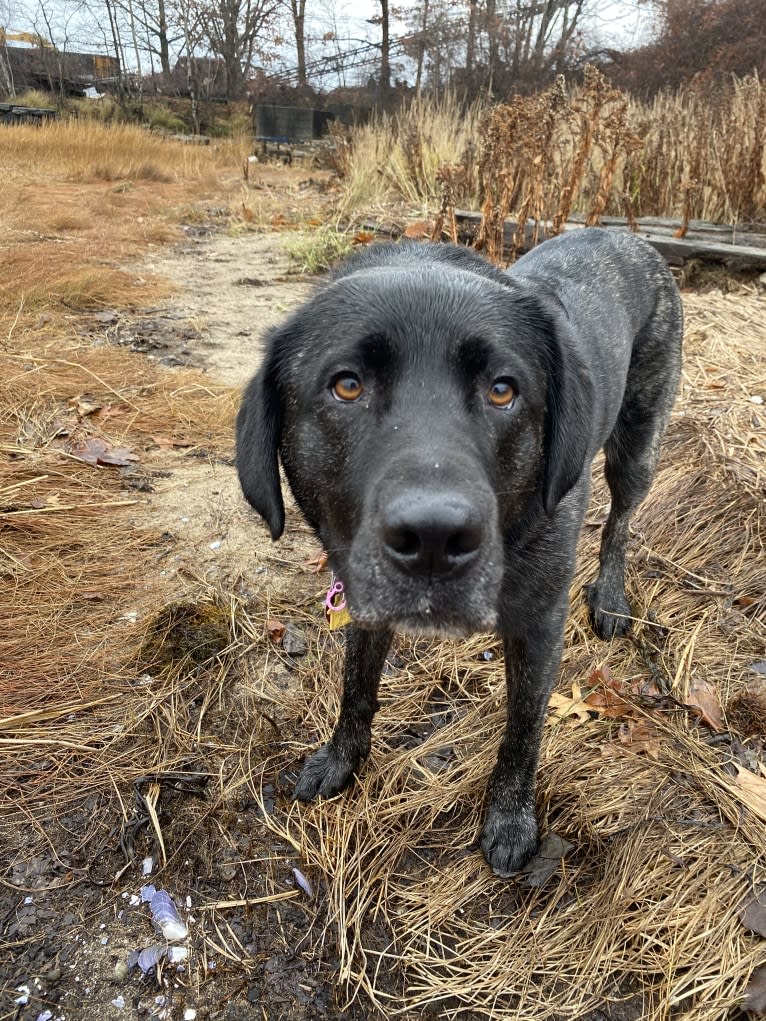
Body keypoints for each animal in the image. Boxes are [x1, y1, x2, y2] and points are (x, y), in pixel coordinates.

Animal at [235, 231, 682, 878]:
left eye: (503, 390)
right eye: (347, 385)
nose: (433, 538)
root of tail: (626, 234)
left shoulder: (539, 624)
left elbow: (523, 727)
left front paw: (511, 818)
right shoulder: (364, 599)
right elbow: (356, 686)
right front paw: (343, 758)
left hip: (638, 446)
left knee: (620, 522)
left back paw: (611, 597)